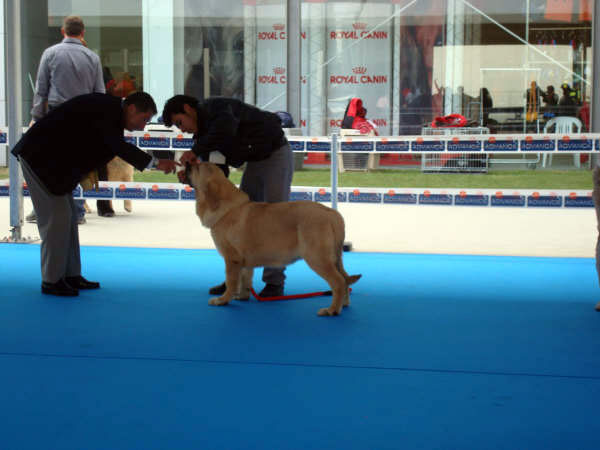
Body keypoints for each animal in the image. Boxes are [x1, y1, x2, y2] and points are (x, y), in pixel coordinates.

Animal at [185, 163, 360, 316]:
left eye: (197, 167)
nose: (186, 163)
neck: (227, 208)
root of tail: (332, 214)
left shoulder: (232, 259)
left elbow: (231, 281)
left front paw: (223, 300)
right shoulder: (244, 262)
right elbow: (245, 279)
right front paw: (242, 296)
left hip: (317, 258)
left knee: (338, 282)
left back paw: (332, 310)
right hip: (335, 258)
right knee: (345, 279)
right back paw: (343, 304)